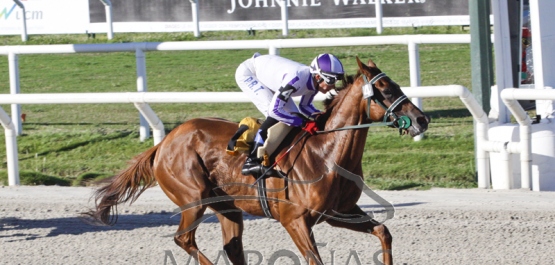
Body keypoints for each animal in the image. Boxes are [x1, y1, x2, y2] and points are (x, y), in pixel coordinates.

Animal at [84, 56, 430, 262]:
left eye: (396, 84)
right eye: (384, 90)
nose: (422, 119)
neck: (326, 153)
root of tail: (164, 143)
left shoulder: (339, 212)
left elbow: (384, 232)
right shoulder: (295, 221)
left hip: (228, 208)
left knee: (231, 247)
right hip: (193, 198)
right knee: (184, 239)